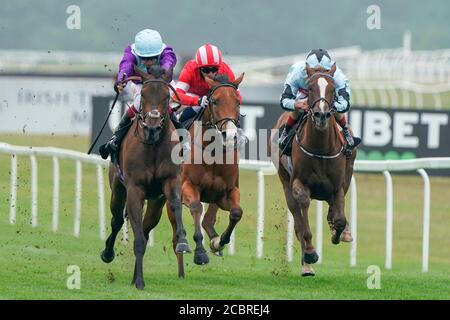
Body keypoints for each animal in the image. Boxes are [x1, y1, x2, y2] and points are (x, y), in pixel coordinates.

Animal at [100, 65, 192, 290]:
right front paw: (140, 282)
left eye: (167, 96)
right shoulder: (135, 189)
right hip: (117, 189)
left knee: (145, 227)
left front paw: (183, 242)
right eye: (143, 94)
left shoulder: (171, 181)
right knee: (117, 220)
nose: (151, 127)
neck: (153, 145)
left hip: (155, 203)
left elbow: (175, 206)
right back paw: (108, 253)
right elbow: (137, 237)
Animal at [179, 72, 244, 264]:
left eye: (238, 101)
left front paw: (219, 242)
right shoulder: (187, 186)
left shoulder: (226, 191)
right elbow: (196, 208)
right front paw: (200, 252)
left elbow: (236, 212)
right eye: (214, 101)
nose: (230, 136)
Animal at [270, 63, 356, 276]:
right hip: (285, 182)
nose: (321, 115)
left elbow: (339, 218)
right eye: (309, 88)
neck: (320, 149)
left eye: (333, 89)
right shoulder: (298, 184)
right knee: (297, 219)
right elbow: (303, 223)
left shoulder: (338, 186)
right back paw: (306, 264)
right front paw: (310, 253)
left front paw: (338, 232)